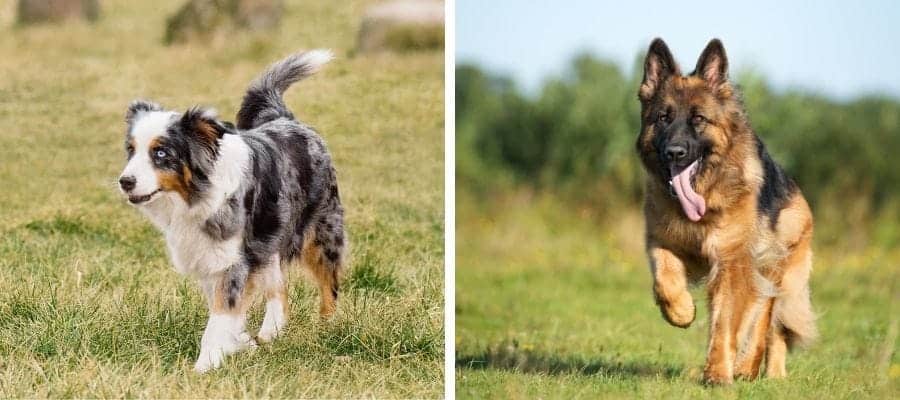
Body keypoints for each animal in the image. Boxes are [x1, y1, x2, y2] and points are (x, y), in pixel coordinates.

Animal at [636, 38, 820, 384]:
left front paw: (719, 374)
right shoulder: (661, 242)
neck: (704, 200)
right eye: (663, 118)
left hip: (774, 270)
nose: (674, 152)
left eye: (698, 119)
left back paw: (755, 370)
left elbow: (726, 324)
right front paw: (682, 312)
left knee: (767, 324)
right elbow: (665, 283)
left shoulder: (731, 263)